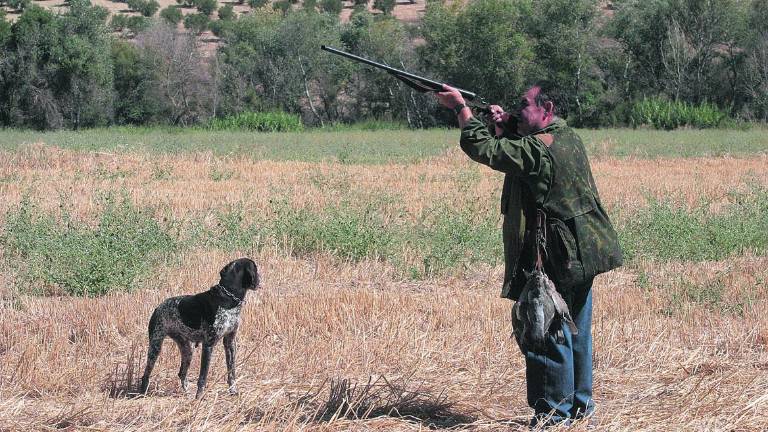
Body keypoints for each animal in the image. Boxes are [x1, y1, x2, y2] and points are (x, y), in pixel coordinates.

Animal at [137, 258, 258, 400]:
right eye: (256, 268)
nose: (260, 279)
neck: (227, 299)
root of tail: (157, 307)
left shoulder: (230, 343)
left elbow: (231, 372)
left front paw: (233, 391)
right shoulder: (208, 345)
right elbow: (203, 377)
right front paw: (199, 397)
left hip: (187, 350)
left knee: (181, 373)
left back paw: (187, 394)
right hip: (155, 347)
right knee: (146, 375)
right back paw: (142, 394)